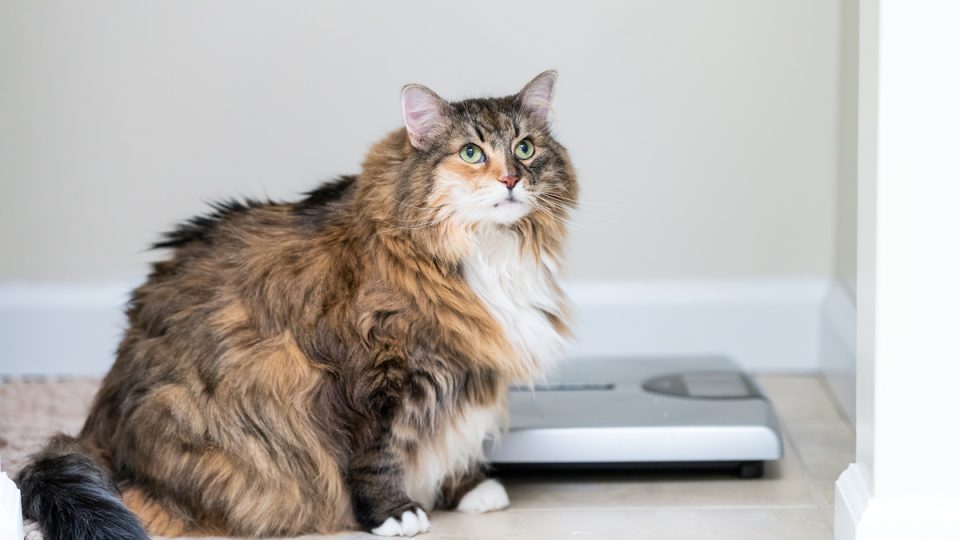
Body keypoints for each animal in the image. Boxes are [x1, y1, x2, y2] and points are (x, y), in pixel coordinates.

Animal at [16, 69, 576, 536]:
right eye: (471, 153)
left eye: (525, 147)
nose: (511, 178)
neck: (486, 250)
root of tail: (95, 430)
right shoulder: (371, 378)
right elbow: (377, 456)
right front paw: (395, 515)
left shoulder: (465, 369)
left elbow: (455, 433)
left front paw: (468, 489)